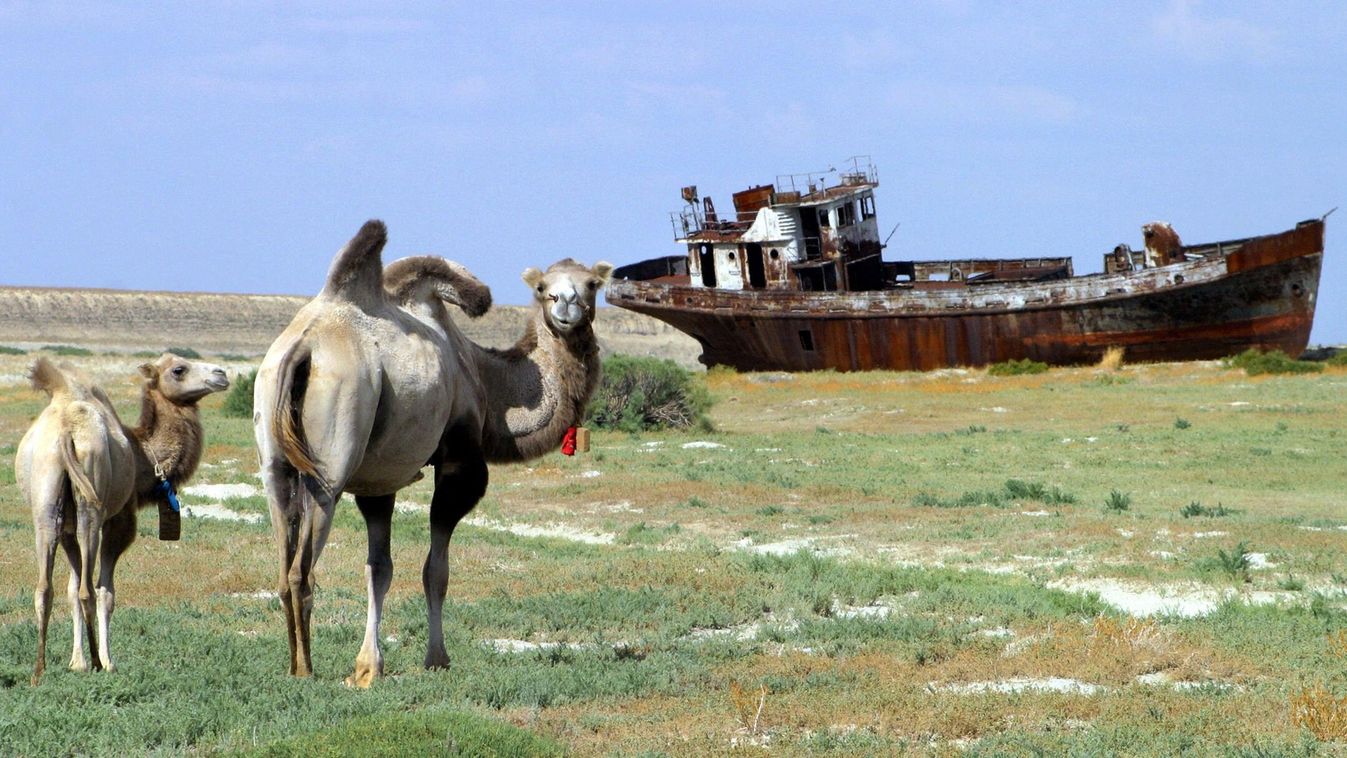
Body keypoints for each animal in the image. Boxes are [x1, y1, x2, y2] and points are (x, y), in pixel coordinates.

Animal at [17, 352, 228, 683]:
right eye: (179, 369)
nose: (221, 374)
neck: (144, 457)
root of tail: (66, 430)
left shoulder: (66, 528)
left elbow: (69, 589)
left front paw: (75, 662)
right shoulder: (122, 520)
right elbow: (106, 592)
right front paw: (105, 661)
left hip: (45, 501)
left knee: (45, 588)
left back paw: (39, 671)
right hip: (92, 505)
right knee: (88, 590)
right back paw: (96, 662)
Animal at [253, 219, 611, 689]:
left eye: (592, 284)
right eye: (541, 287)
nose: (565, 304)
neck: (482, 376)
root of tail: (302, 348)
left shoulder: (379, 479)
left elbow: (378, 568)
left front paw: (368, 666)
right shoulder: (460, 459)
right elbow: (435, 570)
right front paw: (437, 658)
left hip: (274, 458)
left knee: (282, 560)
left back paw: (293, 664)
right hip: (330, 462)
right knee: (302, 569)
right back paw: (306, 670)